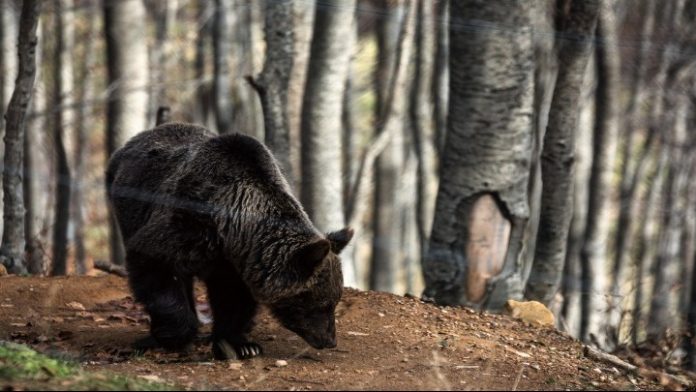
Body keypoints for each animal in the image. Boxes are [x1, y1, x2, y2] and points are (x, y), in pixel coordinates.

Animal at [106, 122, 354, 358]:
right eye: (320, 303)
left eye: (334, 300)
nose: (329, 340)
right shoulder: (186, 226)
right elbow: (154, 265)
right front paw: (176, 336)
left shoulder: (237, 263)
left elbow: (232, 299)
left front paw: (241, 346)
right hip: (128, 208)